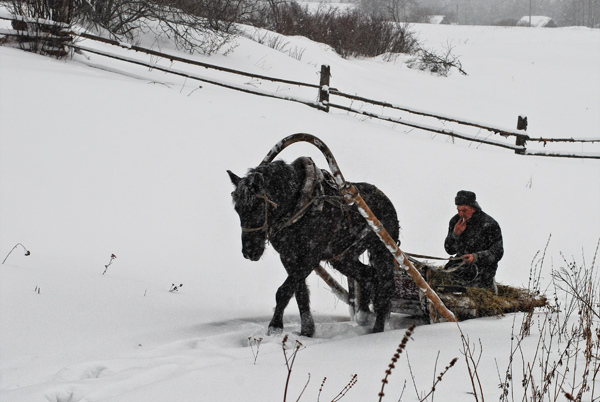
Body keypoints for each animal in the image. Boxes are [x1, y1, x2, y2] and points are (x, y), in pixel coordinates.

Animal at [229, 157, 398, 336]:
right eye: (237, 209)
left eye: (259, 207)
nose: (249, 251)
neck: (298, 208)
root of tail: (385, 199)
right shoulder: (288, 257)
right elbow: (299, 292)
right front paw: (307, 330)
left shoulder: (310, 257)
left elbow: (284, 291)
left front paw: (275, 327)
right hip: (342, 257)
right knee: (367, 275)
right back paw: (364, 314)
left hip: (382, 250)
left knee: (386, 286)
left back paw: (378, 329)